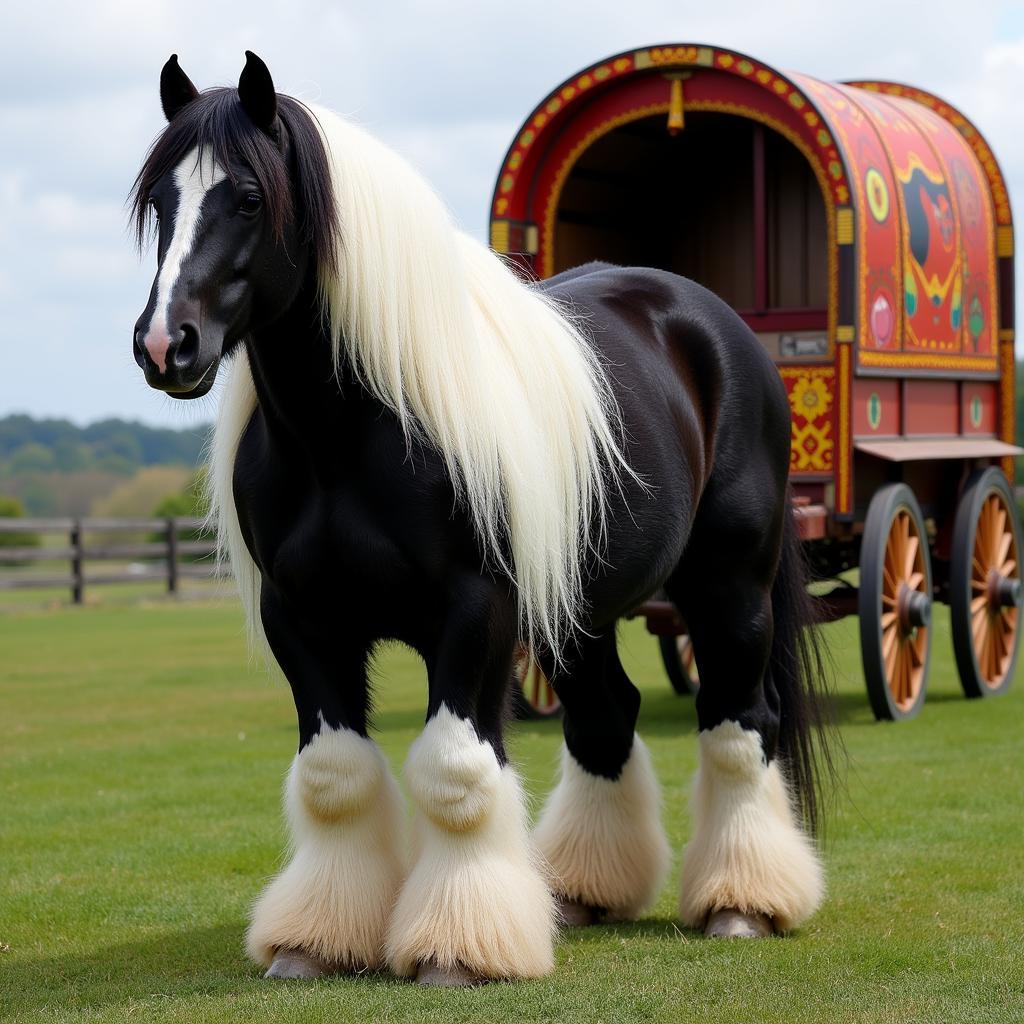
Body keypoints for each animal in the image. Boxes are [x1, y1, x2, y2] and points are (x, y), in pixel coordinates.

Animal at [130, 54, 831, 983]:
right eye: (159, 202)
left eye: (248, 197)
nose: (165, 344)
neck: (352, 431)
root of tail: (715, 325)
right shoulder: (304, 618)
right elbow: (332, 776)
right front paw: (314, 942)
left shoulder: (474, 613)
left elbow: (457, 775)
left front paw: (457, 947)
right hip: (577, 612)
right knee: (605, 719)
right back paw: (580, 893)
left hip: (731, 590)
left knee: (739, 725)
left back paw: (741, 903)